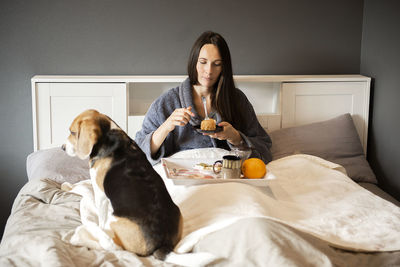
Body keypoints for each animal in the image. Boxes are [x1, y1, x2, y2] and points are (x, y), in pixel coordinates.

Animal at [62, 109, 183, 260]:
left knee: (112, 246)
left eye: (73, 132)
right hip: (178, 212)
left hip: (114, 222)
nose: (62, 148)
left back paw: (83, 237)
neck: (108, 135)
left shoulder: (100, 194)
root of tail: (162, 244)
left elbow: (99, 214)